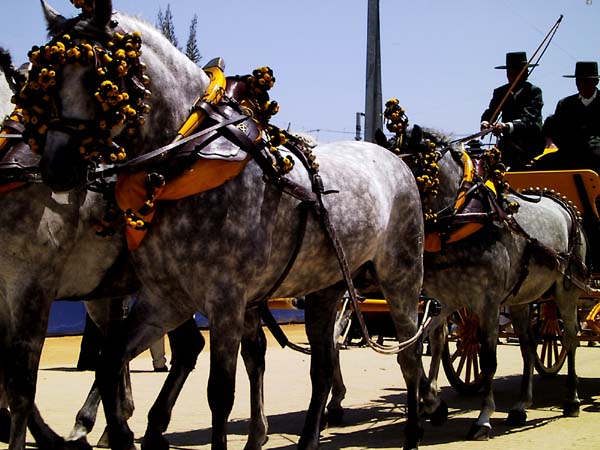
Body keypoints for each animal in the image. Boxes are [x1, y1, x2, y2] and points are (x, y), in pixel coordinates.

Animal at [27, 1, 440, 448]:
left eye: (98, 77)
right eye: (47, 80)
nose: (55, 167)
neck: (188, 159)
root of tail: (394, 158)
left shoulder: (225, 302)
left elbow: (220, 395)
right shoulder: (165, 300)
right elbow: (109, 364)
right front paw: (119, 431)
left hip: (401, 278)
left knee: (409, 355)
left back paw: (414, 429)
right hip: (326, 289)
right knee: (323, 368)